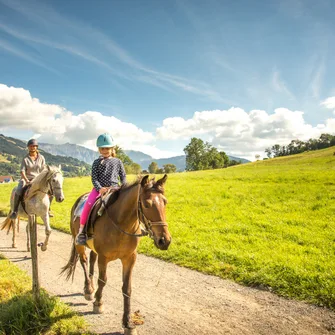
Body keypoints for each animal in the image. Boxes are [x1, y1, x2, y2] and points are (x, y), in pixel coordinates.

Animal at [61, 175, 172, 334]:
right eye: (146, 204)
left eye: (165, 202)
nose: (164, 241)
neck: (121, 224)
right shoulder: (104, 257)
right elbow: (103, 280)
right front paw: (98, 303)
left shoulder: (129, 258)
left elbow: (127, 288)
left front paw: (128, 323)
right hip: (79, 244)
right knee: (84, 261)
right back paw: (88, 290)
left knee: (91, 260)